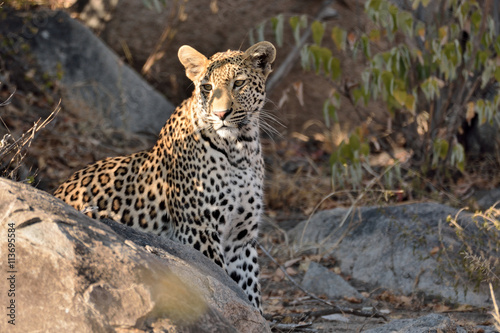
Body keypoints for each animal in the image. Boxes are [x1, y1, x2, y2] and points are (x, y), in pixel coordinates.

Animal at [53, 41, 278, 312]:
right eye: (207, 87)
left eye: (239, 83)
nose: (221, 114)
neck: (240, 149)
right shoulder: (197, 230)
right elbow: (220, 281)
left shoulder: (240, 239)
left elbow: (249, 290)